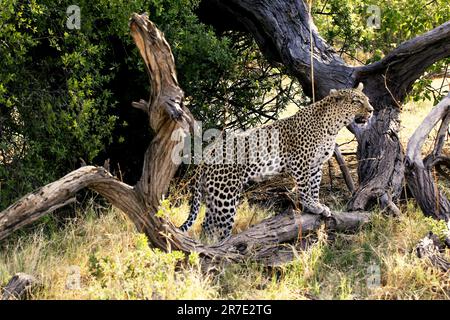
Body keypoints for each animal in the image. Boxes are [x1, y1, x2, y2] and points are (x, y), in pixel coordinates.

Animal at [178, 82, 372, 242]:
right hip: (225, 195)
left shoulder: (316, 165)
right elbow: (305, 188)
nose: (371, 110)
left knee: (207, 225)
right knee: (219, 226)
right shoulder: (300, 162)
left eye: (367, 100)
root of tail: (207, 152)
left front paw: (317, 205)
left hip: (214, 194)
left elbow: (315, 187)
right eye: (356, 101)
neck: (333, 126)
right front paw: (312, 206)